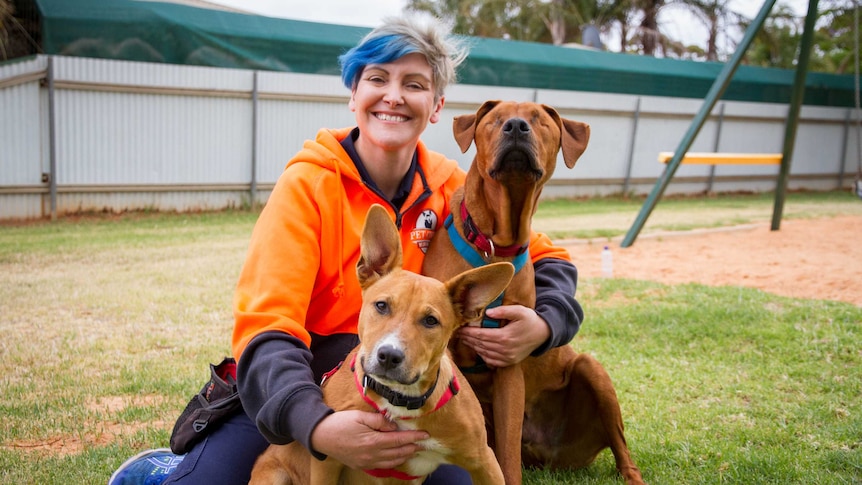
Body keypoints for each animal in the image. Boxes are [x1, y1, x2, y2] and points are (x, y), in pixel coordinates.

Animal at [250, 204, 516, 484]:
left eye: (431, 320)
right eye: (381, 305)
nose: (389, 355)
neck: (398, 401)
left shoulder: (484, 461)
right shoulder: (327, 460)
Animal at [422, 100, 644, 482]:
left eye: (540, 121)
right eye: (495, 120)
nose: (515, 126)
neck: (494, 246)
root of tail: (548, 454)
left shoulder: (509, 362)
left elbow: (508, 454)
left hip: (591, 369)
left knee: (621, 448)